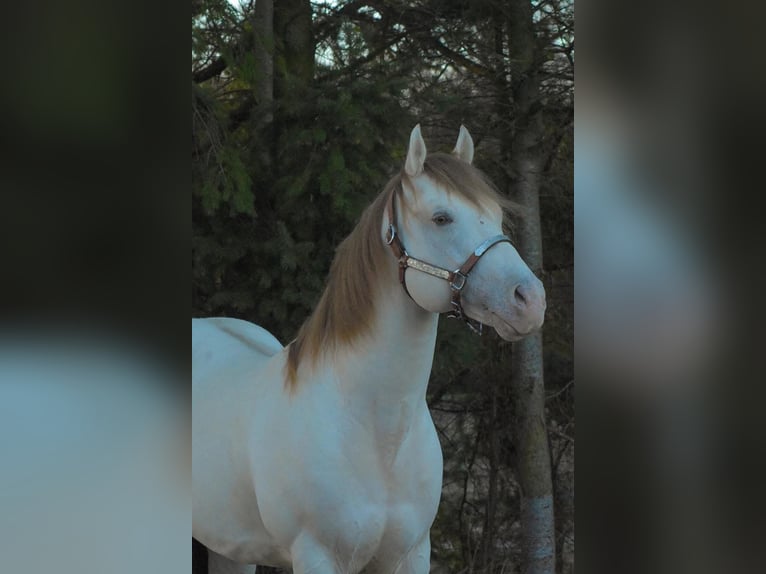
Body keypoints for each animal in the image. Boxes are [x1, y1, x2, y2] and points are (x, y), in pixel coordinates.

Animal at [195, 127, 548, 574]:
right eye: (441, 218)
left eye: (497, 215)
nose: (530, 300)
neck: (377, 436)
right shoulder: (316, 556)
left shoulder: (411, 555)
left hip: (229, 546)